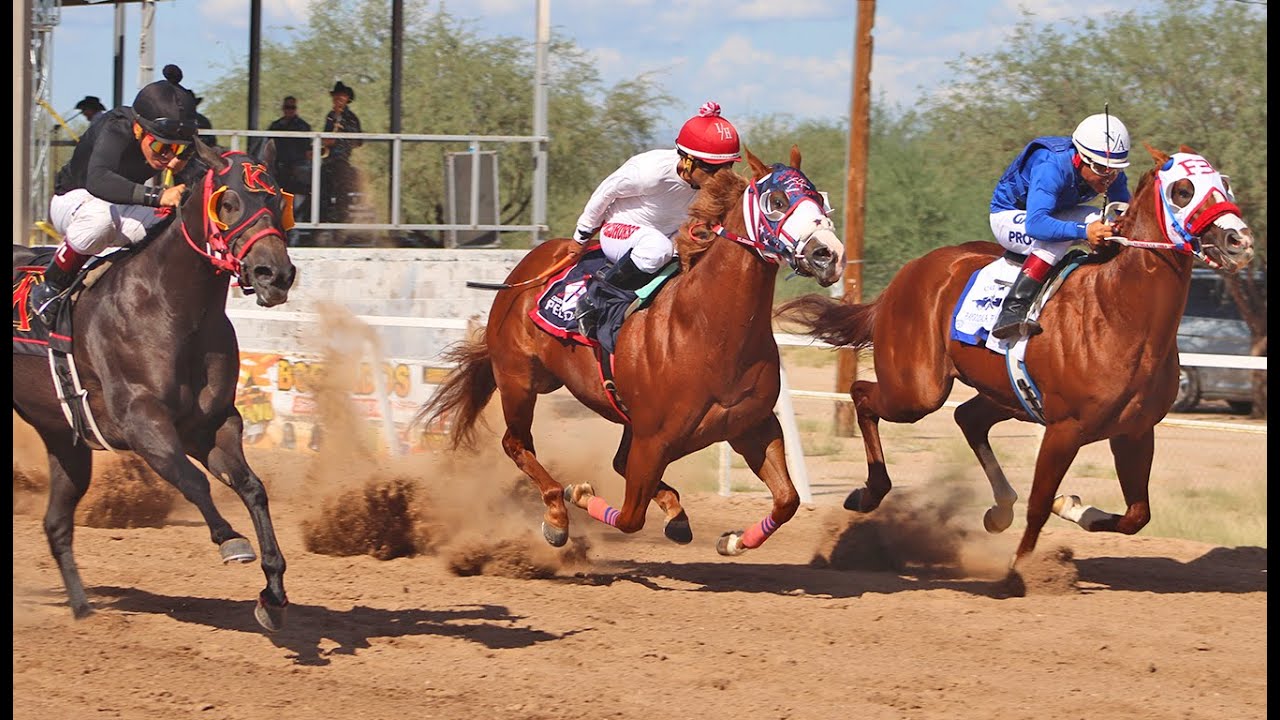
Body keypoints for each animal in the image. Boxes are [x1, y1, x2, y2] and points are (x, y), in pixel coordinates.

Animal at [12, 138, 298, 630]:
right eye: (228, 201)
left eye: (278, 200)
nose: (274, 274)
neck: (170, 307)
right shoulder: (142, 422)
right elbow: (192, 480)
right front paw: (231, 540)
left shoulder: (211, 424)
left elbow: (252, 487)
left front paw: (273, 593)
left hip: (63, 438)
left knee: (56, 523)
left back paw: (83, 608)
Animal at [417, 145, 845, 555]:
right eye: (776, 200)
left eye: (820, 199)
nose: (830, 254)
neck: (708, 329)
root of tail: (527, 269)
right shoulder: (653, 440)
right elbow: (628, 517)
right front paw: (580, 494)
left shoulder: (750, 427)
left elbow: (787, 500)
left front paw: (734, 540)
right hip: (519, 379)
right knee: (516, 443)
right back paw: (557, 512)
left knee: (614, 461)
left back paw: (671, 513)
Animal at [777, 143, 1254, 578]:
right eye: (1182, 190)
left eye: (1226, 183)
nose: (1240, 241)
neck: (1119, 313)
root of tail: (909, 273)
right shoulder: (1065, 429)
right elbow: (1041, 504)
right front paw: (1021, 569)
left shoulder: (1135, 431)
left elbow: (1137, 515)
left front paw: (1074, 507)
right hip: (917, 390)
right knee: (863, 393)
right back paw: (870, 493)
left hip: (1006, 395)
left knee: (968, 418)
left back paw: (998, 508)